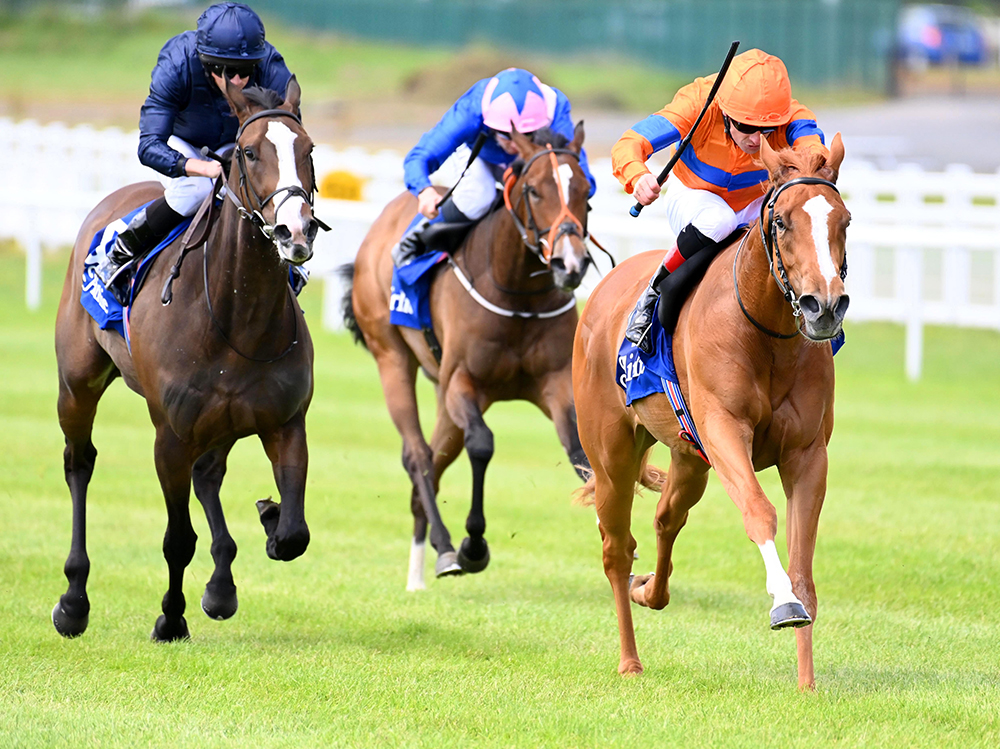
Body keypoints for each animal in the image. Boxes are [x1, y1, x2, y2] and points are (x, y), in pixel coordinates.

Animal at [53, 79, 324, 640]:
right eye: (249, 151)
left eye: (309, 150)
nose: (295, 232)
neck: (237, 317)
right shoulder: (171, 435)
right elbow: (178, 538)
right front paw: (170, 618)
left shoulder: (285, 422)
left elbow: (294, 534)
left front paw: (269, 518)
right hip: (77, 385)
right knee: (79, 464)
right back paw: (73, 599)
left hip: (222, 422)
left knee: (209, 475)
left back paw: (221, 586)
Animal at [344, 124, 592, 592]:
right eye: (534, 190)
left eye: (585, 190)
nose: (570, 263)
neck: (517, 295)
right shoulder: (464, 382)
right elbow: (482, 444)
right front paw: (472, 546)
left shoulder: (555, 384)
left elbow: (579, 453)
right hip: (392, 357)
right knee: (418, 457)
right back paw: (442, 550)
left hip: (443, 395)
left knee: (435, 461)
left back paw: (420, 570)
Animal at [576, 131, 848, 688]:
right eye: (782, 221)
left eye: (845, 221)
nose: (825, 306)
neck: (767, 333)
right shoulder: (725, 431)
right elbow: (759, 512)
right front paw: (783, 605)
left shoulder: (808, 453)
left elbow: (803, 563)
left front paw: (807, 682)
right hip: (612, 457)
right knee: (617, 549)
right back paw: (629, 659)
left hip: (688, 458)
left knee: (666, 519)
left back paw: (649, 589)